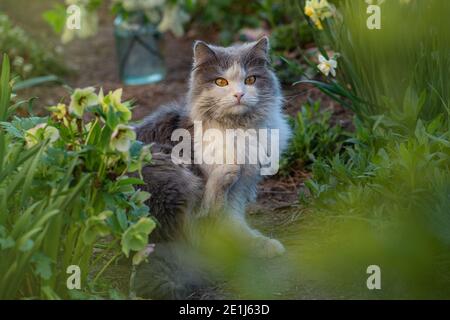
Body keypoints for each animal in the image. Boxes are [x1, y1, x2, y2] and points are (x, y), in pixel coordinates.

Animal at [134, 37, 292, 300]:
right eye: (220, 82)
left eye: (251, 80)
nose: (239, 94)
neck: (238, 130)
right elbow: (217, 219)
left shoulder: (241, 189)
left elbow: (234, 225)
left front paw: (255, 244)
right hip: (169, 169)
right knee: (201, 221)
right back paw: (226, 173)